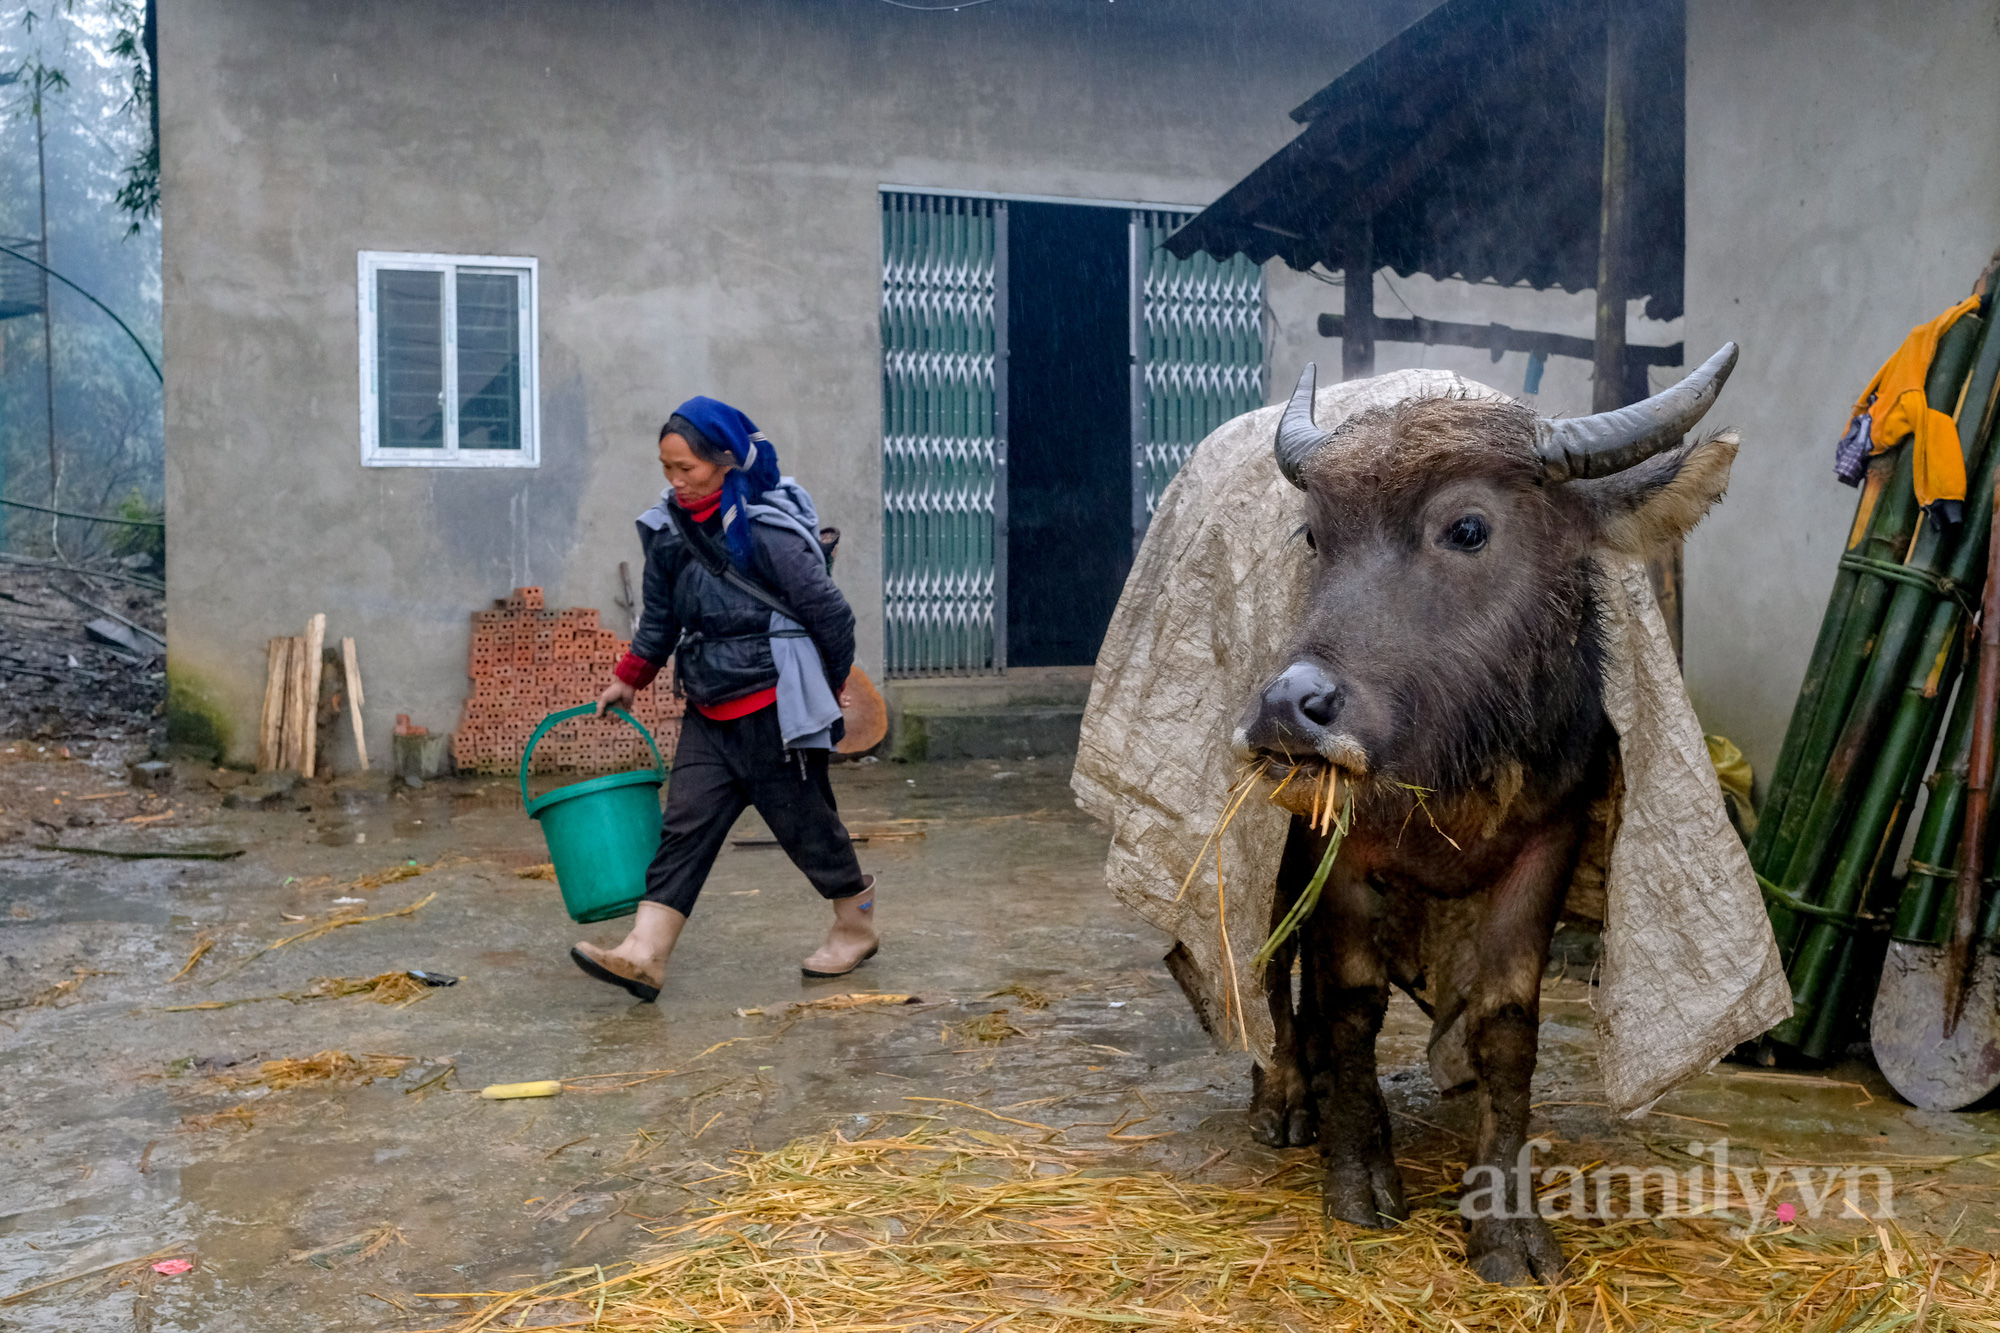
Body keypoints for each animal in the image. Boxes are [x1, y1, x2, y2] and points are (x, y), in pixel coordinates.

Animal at [1232, 348, 1736, 1280]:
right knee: (1274, 952)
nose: (1289, 706)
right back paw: (1286, 1095)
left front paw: (1507, 1223)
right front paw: (1358, 1175)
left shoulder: (1552, 835)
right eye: (1315, 536)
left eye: (1468, 528)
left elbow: (1507, 1024)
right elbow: (1353, 999)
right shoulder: (1340, 845)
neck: (1452, 756)